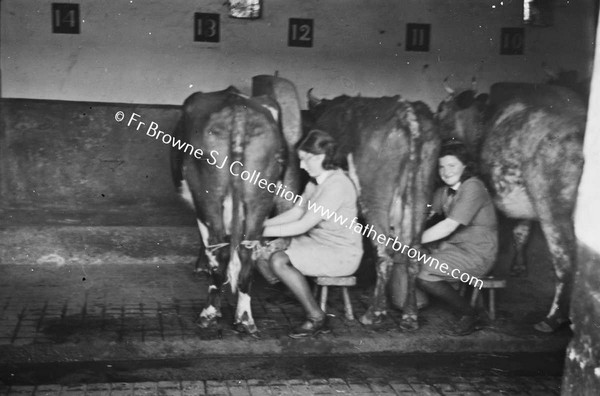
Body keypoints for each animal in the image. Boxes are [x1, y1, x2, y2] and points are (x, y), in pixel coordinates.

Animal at [170, 78, 302, 338]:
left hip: (208, 195)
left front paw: (200, 266)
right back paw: (245, 319)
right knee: (247, 251)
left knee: (219, 249)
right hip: (260, 197)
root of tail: (238, 110)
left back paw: (209, 315)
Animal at [304, 91, 440, 330]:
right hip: (421, 194)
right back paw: (409, 315)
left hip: (375, 198)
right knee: (413, 254)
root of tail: (408, 114)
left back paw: (374, 313)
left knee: (383, 252)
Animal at [436, 78, 584, 332]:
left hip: (552, 207)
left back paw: (552, 319)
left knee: (565, 261)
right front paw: (518, 267)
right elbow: (521, 231)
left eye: (440, 109)